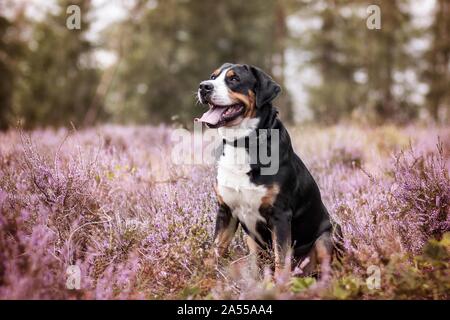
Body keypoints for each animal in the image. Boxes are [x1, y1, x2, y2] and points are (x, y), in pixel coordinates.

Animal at [195, 63, 340, 278]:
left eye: (234, 79)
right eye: (213, 77)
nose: (204, 87)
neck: (242, 144)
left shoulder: (280, 215)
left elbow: (281, 260)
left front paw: (280, 284)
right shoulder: (226, 211)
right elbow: (215, 250)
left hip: (326, 237)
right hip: (252, 243)